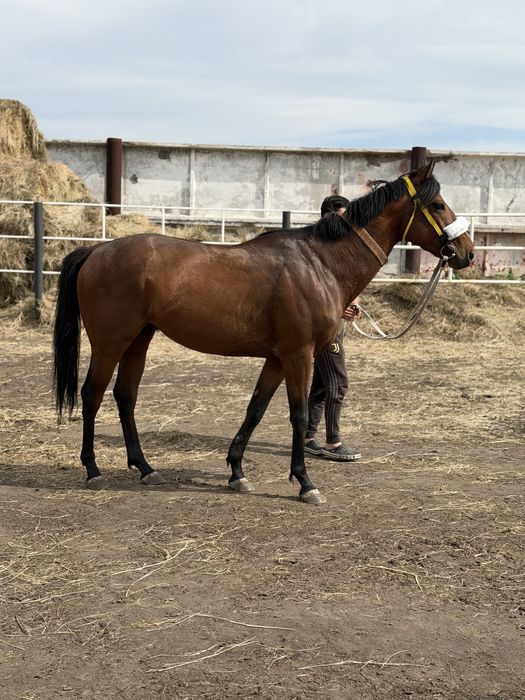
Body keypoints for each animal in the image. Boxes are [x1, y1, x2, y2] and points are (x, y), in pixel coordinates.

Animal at [53, 160, 474, 504]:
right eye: (438, 205)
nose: (467, 252)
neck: (320, 264)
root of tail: (95, 251)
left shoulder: (276, 358)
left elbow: (255, 410)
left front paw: (237, 472)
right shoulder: (298, 355)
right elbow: (299, 415)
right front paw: (305, 482)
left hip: (139, 339)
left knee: (125, 397)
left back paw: (145, 467)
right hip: (110, 343)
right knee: (91, 395)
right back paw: (93, 470)